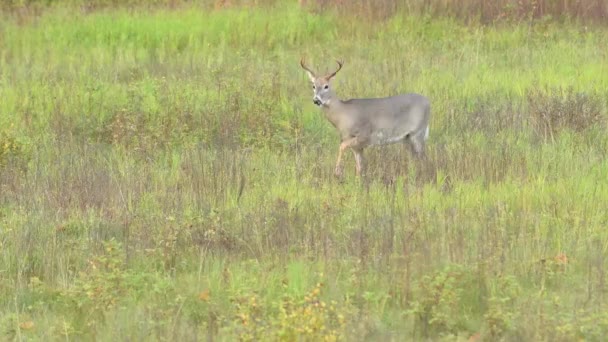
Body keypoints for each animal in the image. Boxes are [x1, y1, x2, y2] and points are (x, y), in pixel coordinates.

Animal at [302, 57, 430, 178]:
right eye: (313, 86)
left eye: (326, 86)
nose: (316, 100)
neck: (343, 114)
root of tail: (428, 102)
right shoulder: (357, 146)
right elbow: (359, 167)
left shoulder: (364, 135)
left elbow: (342, 146)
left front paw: (337, 172)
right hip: (407, 138)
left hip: (418, 133)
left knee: (424, 159)